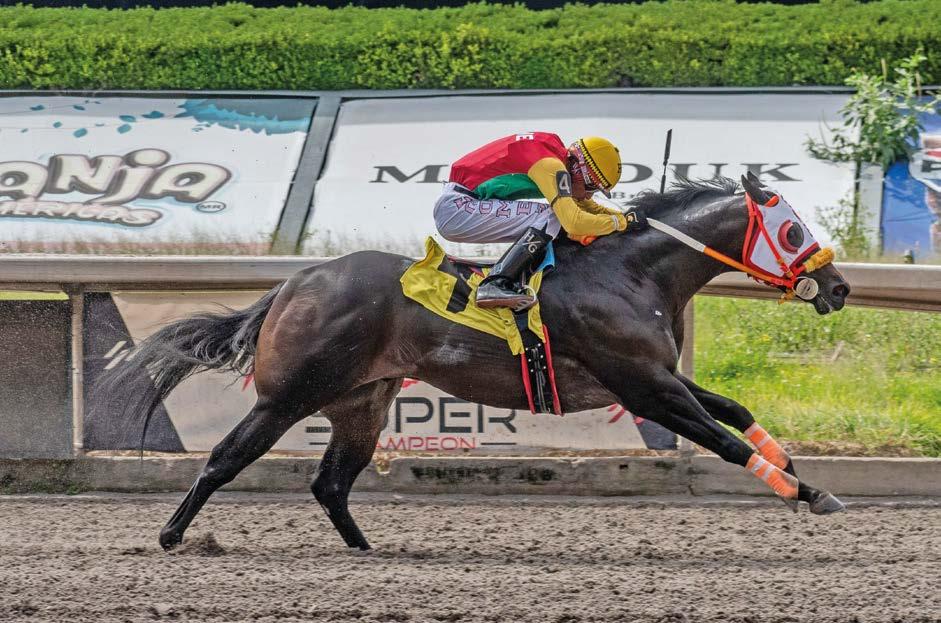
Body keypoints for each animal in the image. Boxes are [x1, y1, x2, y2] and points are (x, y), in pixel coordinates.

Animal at [109, 174, 851, 551]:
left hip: (361, 401)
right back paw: (171, 535)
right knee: (224, 459)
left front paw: (793, 466)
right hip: (286, 396)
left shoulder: (657, 376)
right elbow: (723, 440)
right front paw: (808, 492)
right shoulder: (644, 388)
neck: (627, 271)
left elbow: (734, 410)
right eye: (793, 230)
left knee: (331, 483)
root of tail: (296, 283)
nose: (839, 286)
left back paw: (365, 548)